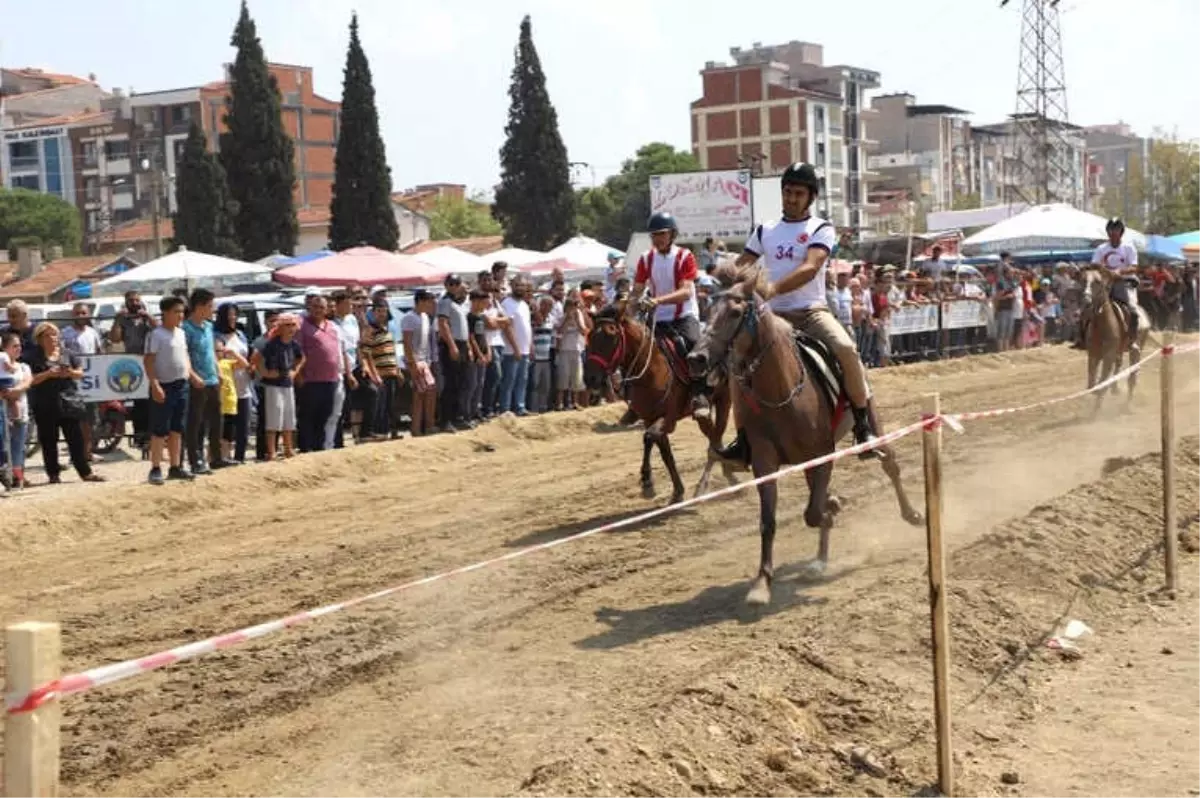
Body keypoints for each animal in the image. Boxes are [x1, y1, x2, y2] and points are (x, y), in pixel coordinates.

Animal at [583, 302, 739, 501]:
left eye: (611, 336)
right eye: (589, 336)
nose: (591, 378)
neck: (651, 369)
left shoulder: (668, 418)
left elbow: (649, 437)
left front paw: (648, 480)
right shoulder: (650, 418)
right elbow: (664, 452)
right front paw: (674, 489)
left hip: (724, 400)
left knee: (715, 438)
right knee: (713, 437)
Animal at [686, 264, 926, 607]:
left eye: (735, 312)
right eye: (707, 310)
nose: (697, 358)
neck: (780, 388)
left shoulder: (822, 454)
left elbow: (813, 513)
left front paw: (831, 509)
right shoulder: (765, 461)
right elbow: (770, 520)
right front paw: (762, 583)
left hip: (871, 419)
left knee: (890, 465)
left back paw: (912, 514)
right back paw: (820, 558)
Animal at [1084, 271, 1147, 412]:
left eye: (1097, 282)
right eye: (1083, 279)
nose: (1086, 298)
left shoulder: (1108, 356)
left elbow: (1102, 382)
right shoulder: (1093, 354)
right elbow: (1092, 383)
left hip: (1135, 351)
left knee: (1132, 377)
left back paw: (1127, 406)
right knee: (1119, 367)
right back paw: (1115, 389)